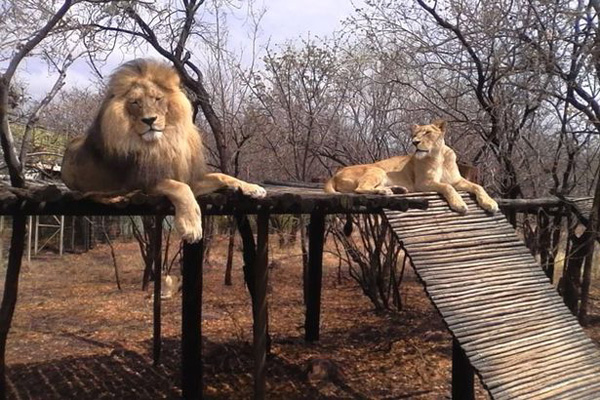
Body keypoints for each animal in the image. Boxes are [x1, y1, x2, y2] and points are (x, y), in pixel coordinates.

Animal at [62, 58, 266, 241]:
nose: (149, 120)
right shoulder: (144, 181)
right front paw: (191, 227)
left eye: (157, 98)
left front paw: (254, 188)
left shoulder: (191, 178)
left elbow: (221, 176)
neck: (165, 142)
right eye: (135, 102)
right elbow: (180, 188)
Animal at [326, 119, 500, 216]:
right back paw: (385, 192)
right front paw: (459, 204)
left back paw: (397, 189)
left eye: (427, 132)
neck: (439, 155)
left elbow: (478, 186)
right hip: (377, 169)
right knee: (360, 189)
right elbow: (447, 187)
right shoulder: (423, 183)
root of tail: (334, 175)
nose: (414, 142)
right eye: (415, 134)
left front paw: (490, 203)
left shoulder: (457, 180)